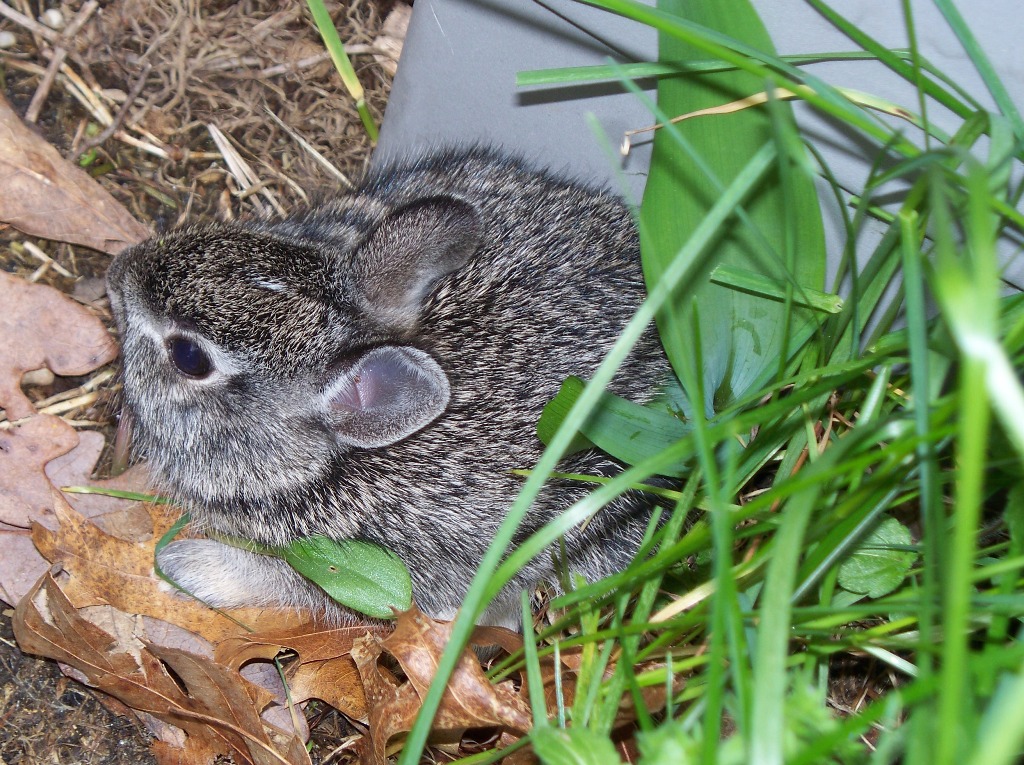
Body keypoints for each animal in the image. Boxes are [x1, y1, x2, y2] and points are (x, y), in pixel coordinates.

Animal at [108, 149, 671, 626]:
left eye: (189, 357)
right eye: (254, 243)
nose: (117, 273)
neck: (324, 464)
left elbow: (279, 579)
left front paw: (183, 565)